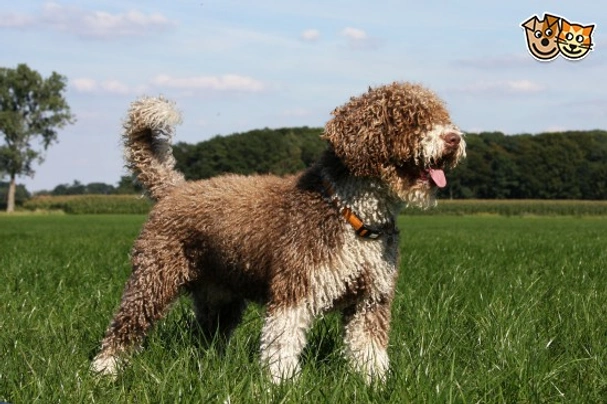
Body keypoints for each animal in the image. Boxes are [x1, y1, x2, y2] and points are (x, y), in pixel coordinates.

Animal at [92, 80, 468, 384]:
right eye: (409, 119)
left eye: (441, 114)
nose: (454, 138)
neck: (351, 214)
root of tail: (173, 189)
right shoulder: (296, 289)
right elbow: (282, 342)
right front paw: (283, 383)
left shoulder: (371, 299)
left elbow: (368, 349)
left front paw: (375, 384)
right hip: (152, 279)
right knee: (123, 328)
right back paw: (104, 371)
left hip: (219, 295)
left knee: (208, 336)